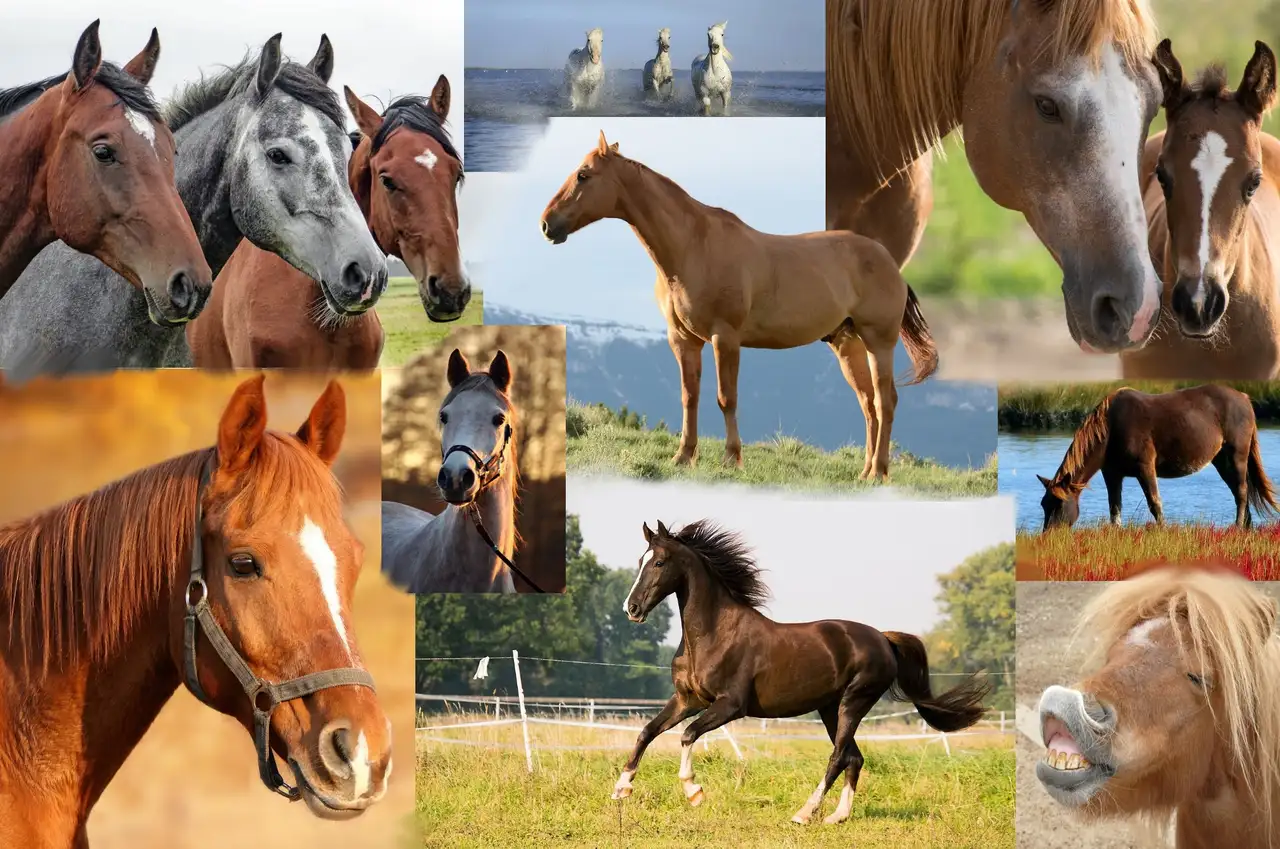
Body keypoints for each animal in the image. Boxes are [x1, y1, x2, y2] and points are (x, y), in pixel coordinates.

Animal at [540, 131, 937, 479]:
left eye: (583, 175)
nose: (547, 224)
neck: (693, 247)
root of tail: (888, 262)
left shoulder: (724, 337)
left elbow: (725, 398)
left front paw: (732, 459)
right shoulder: (683, 340)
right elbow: (689, 396)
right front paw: (683, 457)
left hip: (878, 342)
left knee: (885, 401)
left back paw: (880, 473)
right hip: (847, 345)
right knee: (869, 404)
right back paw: (865, 471)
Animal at [614, 520, 990, 825]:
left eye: (659, 562)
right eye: (640, 561)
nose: (631, 608)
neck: (714, 634)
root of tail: (883, 639)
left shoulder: (730, 705)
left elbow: (687, 735)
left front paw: (694, 792)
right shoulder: (687, 699)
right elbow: (647, 732)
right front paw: (621, 788)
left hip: (854, 702)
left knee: (839, 757)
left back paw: (804, 813)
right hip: (830, 708)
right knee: (854, 757)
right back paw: (837, 817)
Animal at [1036, 384, 1278, 530]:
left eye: (1059, 504)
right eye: (1043, 504)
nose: (1049, 536)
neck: (1111, 428)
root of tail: (1244, 398)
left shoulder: (1145, 468)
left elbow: (1154, 503)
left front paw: (1163, 531)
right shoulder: (1112, 474)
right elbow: (1115, 507)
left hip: (1237, 455)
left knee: (1242, 492)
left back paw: (1237, 527)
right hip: (1221, 460)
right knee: (1239, 490)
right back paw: (1245, 528)